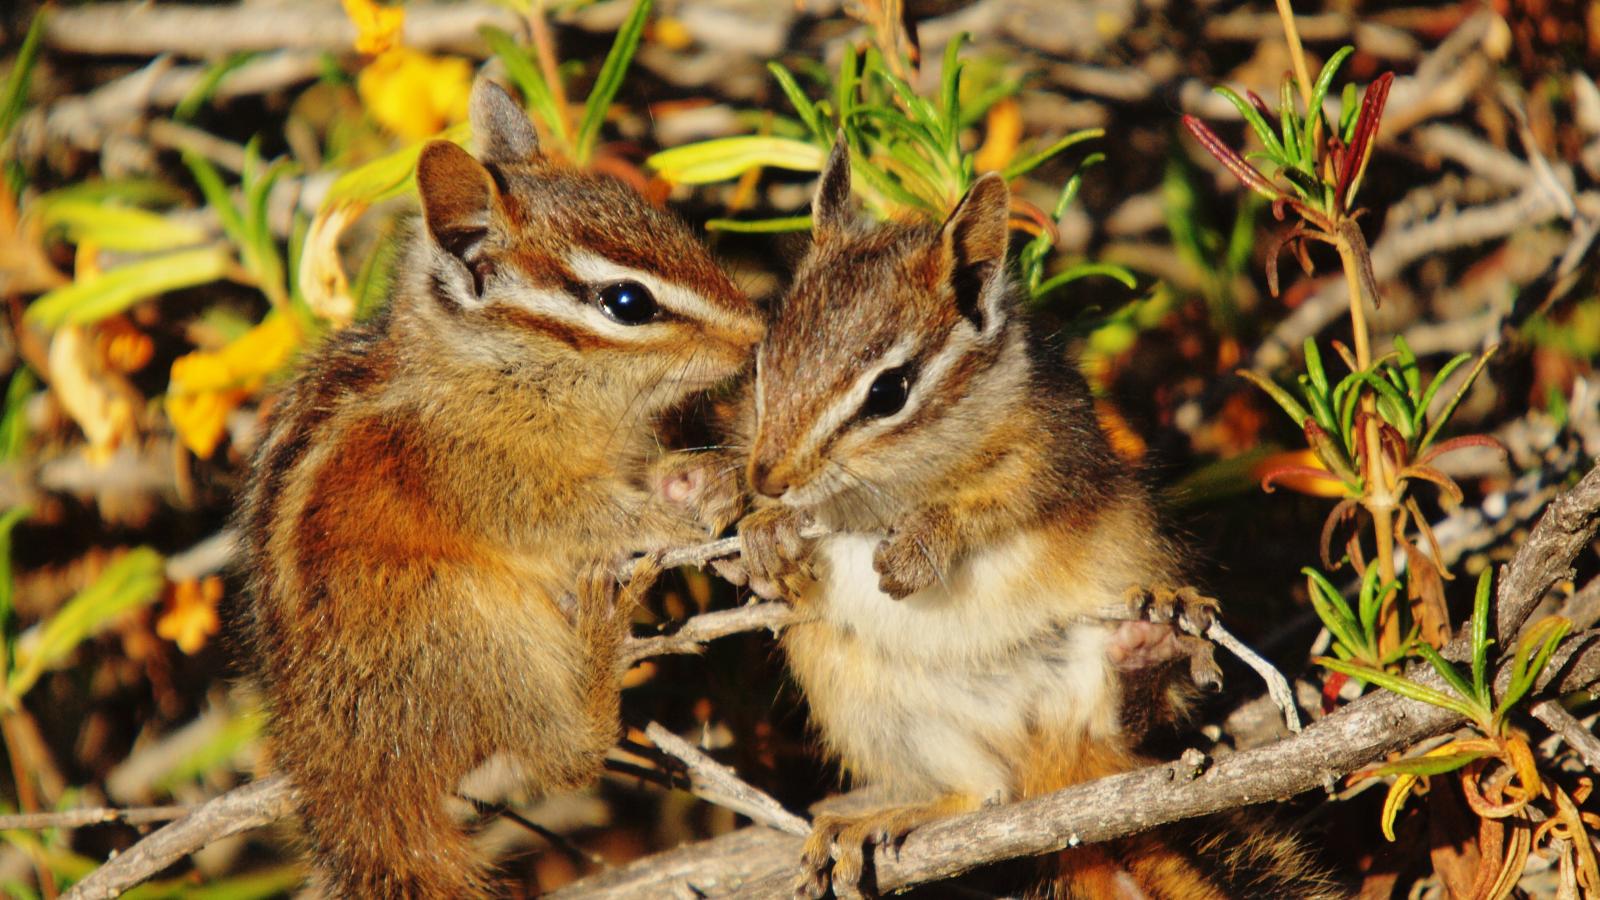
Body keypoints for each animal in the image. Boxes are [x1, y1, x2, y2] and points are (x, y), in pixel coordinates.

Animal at [237, 80, 762, 898]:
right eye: (626, 303)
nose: (756, 330)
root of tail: (334, 764)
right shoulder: (477, 475)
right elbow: (574, 516)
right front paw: (663, 520)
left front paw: (700, 482)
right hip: (465, 625)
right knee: (566, 758)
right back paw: (602, 640)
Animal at [733, 138, 1347, 898]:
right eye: (765, 358)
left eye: (889, 391)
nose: (768, 476)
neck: (882, 497)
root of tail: (1053, 768)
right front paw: (763, 535)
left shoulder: (1049, 453)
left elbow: (998, 505)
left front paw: (921, 544)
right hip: (873, 706)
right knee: (982, 792)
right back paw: (880, 818)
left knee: (1124, 720)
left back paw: (1148, 647)